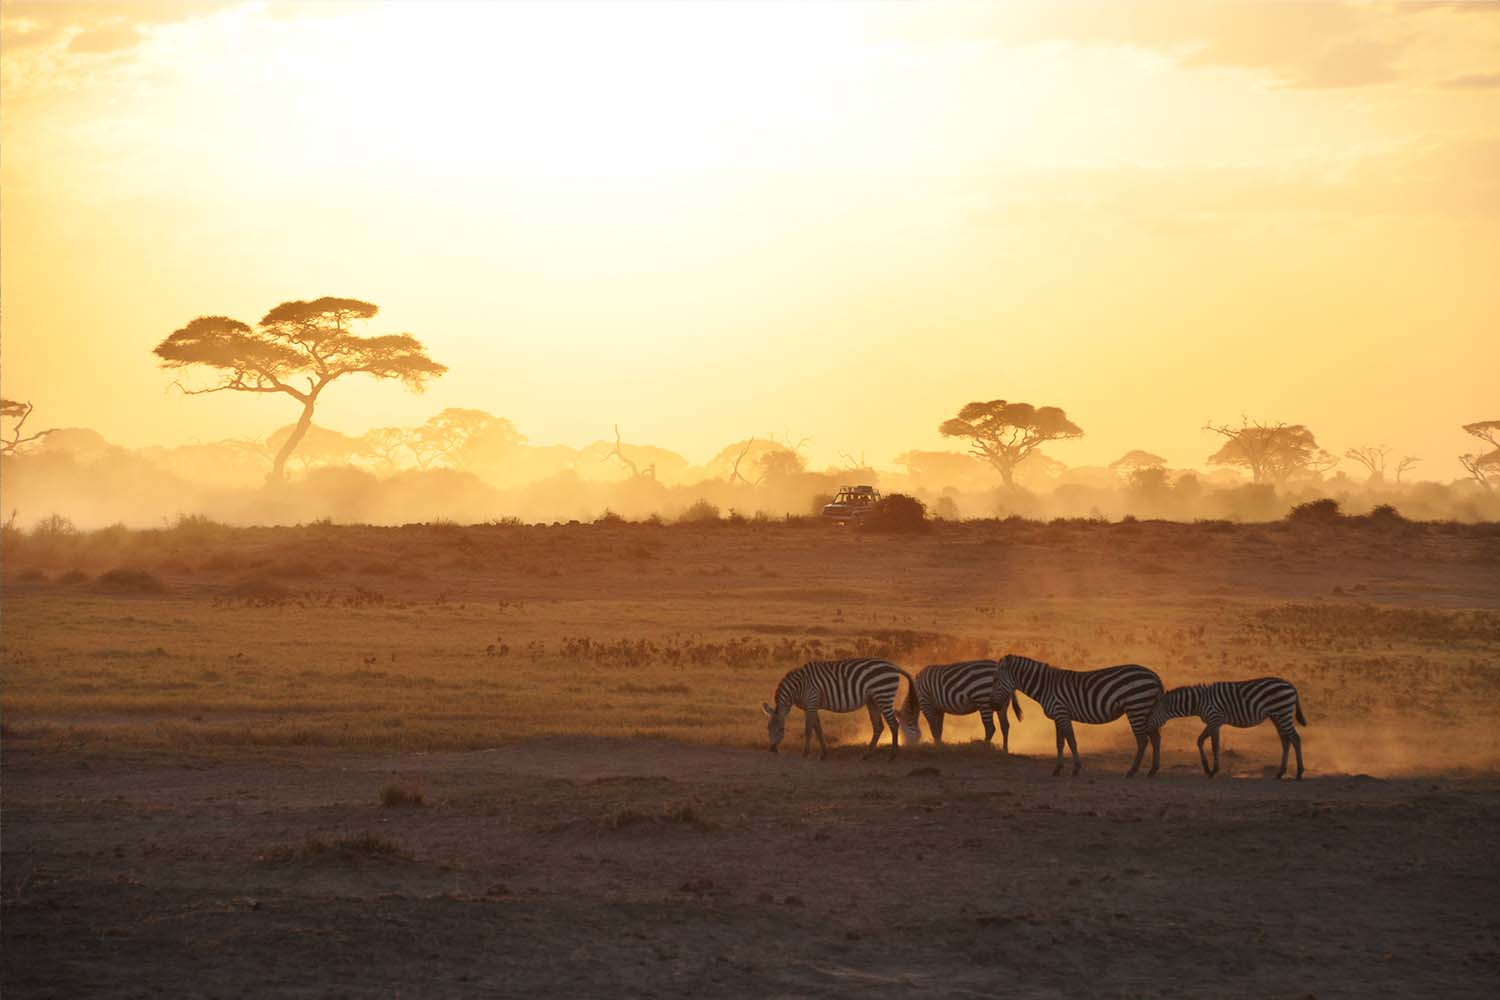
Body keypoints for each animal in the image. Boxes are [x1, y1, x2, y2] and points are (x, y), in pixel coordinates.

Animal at [762, 656, 912, 758]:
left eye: (782, 729)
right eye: (768, 728)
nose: (772, 749)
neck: (798, 687)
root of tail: (893, 666)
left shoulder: (811, 702)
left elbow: (808, 730)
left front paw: (805, 753)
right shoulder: (812, 706)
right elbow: (818, 729)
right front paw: (824, 753)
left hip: (884, 695)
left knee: (894, 724)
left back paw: (892, 755)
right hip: (873, 700)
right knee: (879, 726)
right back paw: (867, 755)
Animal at [894, 659, 1026, 746]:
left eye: (902, 731)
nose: (907, 747)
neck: (916, 694)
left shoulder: (926, 703)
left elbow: (933, 728)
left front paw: (936, 747)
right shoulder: (939, 708)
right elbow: (939, 729)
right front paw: (939, 745)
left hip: (984, 701)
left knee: (990, 728)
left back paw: (984, 747)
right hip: (1002, 703)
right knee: (1005, 726)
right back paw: (1005, 750)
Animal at [990, 656, 1164, 779]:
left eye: (996, 680)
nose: (993, 706)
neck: (1046, 687)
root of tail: (1154, 675)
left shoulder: (1061, 713)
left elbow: (1072, 742)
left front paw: (1075, 769)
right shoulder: (1058, 717)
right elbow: (1060, 743)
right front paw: (1057, 769)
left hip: (1136, 708)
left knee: (1143, 741)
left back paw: (1132, 771)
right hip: (1145, 710)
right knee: (1155, 739)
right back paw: (1152, 770)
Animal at [1146, 680, 1314, 779]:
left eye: (1151, 712)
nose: (1146, 726)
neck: (1198, 702)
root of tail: (1290, 685)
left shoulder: (1214, 719)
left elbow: (1209, 744)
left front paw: (1211, 770)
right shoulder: (1215, 722)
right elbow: (1206, 742)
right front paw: (1210, 768)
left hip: (1282, 712)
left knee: (1295, 739)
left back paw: (1299, 772)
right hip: (1277, 716)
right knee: (1286, 742)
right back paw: (1280, 772)